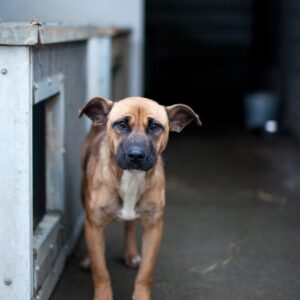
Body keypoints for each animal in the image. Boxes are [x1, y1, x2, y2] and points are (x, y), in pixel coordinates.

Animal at [79, 97, 202, 298]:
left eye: (154, 127)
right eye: (121, 124)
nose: (136, 155)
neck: (132, 177)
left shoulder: (154, 227)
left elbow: (146, 273)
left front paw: (141, 296)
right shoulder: (95, 225)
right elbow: (101, 272)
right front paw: (103, 295)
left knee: (129, 225)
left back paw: (130, 254)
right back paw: (89, 260)